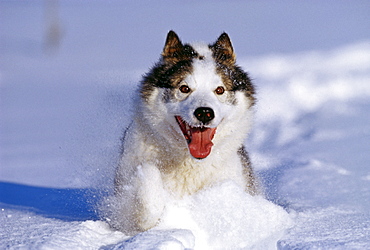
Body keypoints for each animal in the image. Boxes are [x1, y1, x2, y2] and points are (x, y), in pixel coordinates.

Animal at [112, 31, 258, 234]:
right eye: (184, 88)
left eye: (220, 90)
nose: (204, 112)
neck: (189, 162)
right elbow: (148, 173)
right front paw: (148, 218)